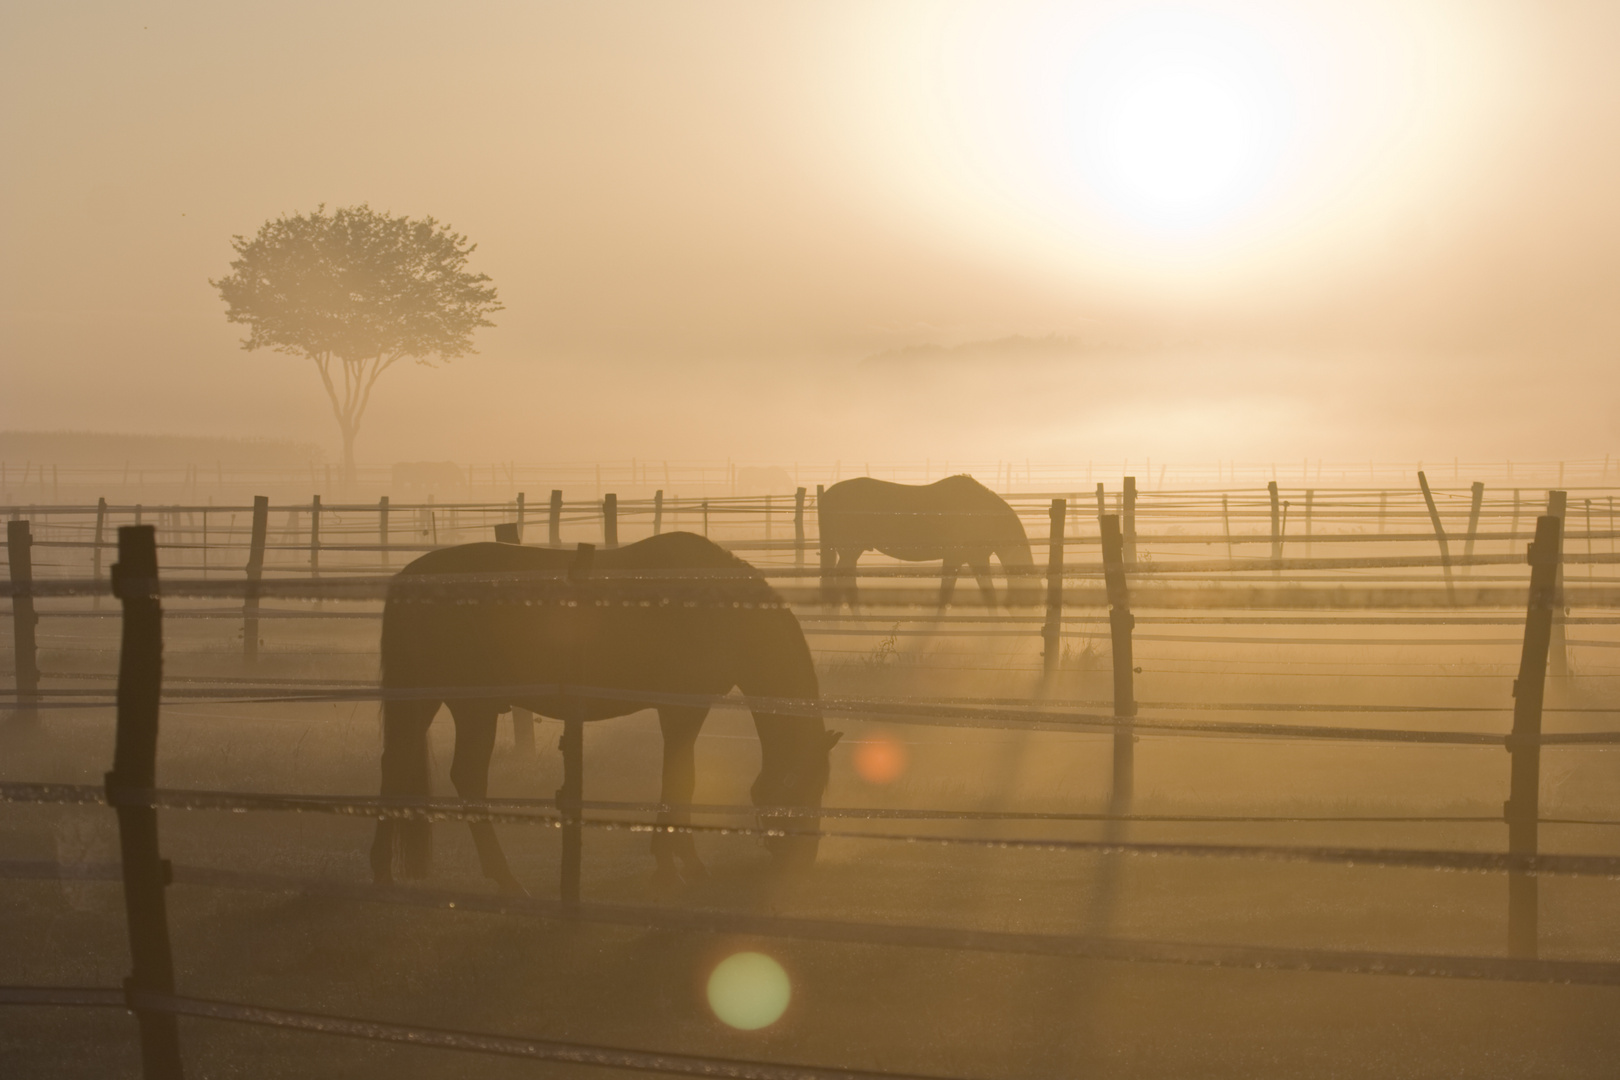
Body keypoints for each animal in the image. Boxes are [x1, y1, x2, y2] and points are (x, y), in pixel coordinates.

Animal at [372, 531, 842, 893]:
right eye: (801, 788)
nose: (801, 860)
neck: (718, 609)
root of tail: (410, 578)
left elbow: (681, 781)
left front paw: (681, 863)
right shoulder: (680, 710)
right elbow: (679, 779)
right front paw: (673, 868)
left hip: (433, 702)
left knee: (398, 767)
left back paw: (386, 874)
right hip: (471, 707)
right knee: (465, 778)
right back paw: (503, 879)